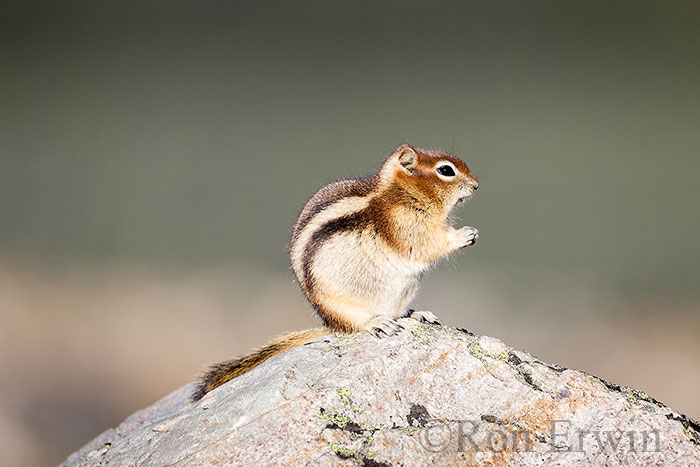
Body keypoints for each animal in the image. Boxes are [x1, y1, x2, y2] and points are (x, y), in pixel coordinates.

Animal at [191, 144, 479, 401]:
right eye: (445, 170)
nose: (476, 185)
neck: (400, 192)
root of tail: (330, 323)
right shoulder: (406, 226)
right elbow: (426, 245)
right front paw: (464, 235)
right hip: (344, 307)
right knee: (357, 325)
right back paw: (378, 322)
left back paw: (417, 314)